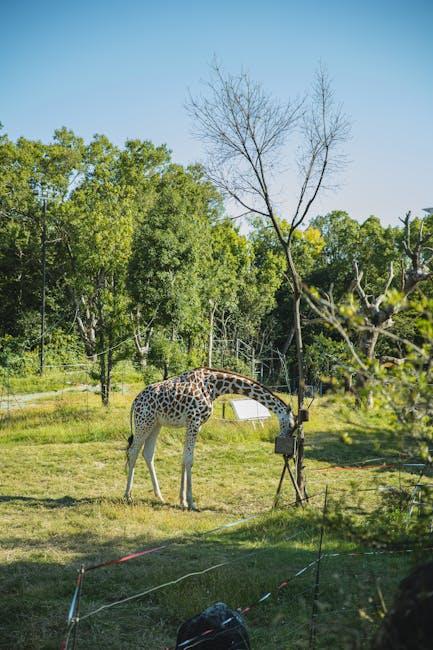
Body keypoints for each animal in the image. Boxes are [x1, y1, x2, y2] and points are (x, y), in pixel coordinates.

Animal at [123, 368, 296, 508]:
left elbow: (184, 458)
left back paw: (159, 496)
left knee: (147, 453)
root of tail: (134, 402)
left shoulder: (195, 424)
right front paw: (191, 502)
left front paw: (182, 500)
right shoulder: (194, 420)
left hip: (156, 424)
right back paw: (128, 496)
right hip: (144, 422)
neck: (214, 387)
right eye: (291, 425)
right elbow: (189, 460)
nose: (287, 449)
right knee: (132, 452)